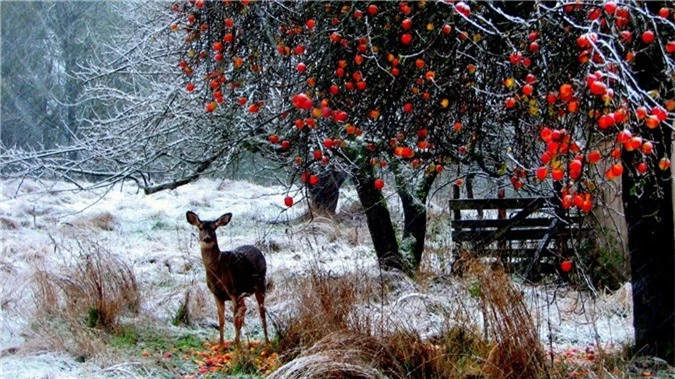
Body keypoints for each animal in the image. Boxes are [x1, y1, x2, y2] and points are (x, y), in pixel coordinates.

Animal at [186, 212, 270, 348]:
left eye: (214, 228)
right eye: (201, 228)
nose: (207, 239)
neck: (217, 268)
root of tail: (257, 249)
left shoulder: (232, 291)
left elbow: (235, 320)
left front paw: (237, 347)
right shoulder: (217, 294)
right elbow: (221, 320)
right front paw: (221, 345)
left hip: (260, 284)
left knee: (261, 311)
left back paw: (267, 341)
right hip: (243, 292)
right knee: (244, 308)